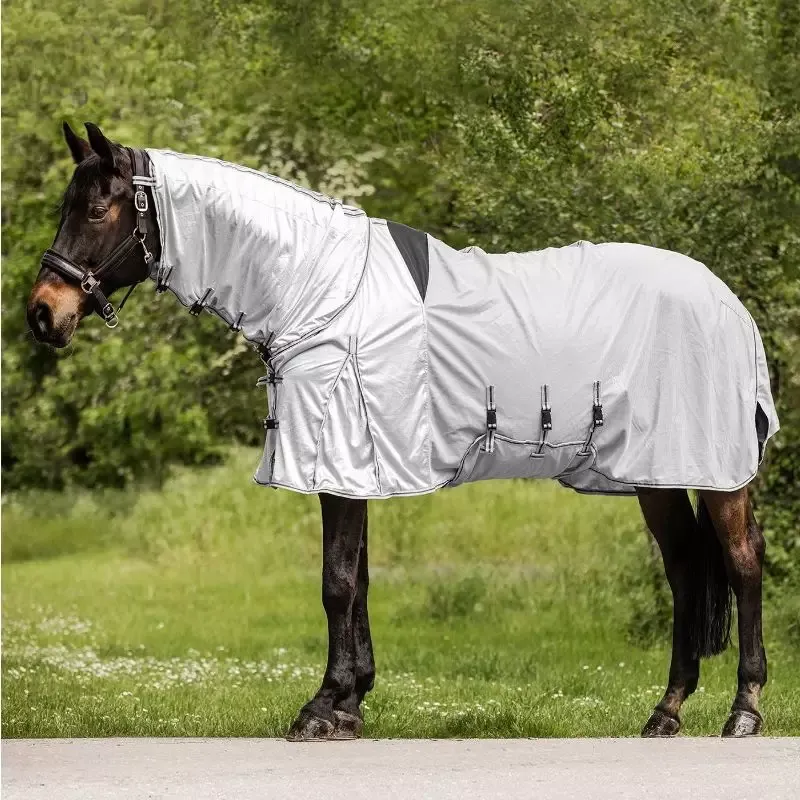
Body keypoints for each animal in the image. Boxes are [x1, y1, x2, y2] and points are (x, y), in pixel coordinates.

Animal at [27, 122, 779, 740]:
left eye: (96, 208)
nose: (43, 313)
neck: (320, 289)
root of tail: (728, 301)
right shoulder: (353, 467)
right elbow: (357, 581)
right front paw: (350, 703)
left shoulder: (339, 459)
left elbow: (336, 583)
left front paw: (321, 709)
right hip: (658, 474)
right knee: (686, 570)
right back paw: (666, 712)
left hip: (715, 472)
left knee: (742, 563)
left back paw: (743, 711)